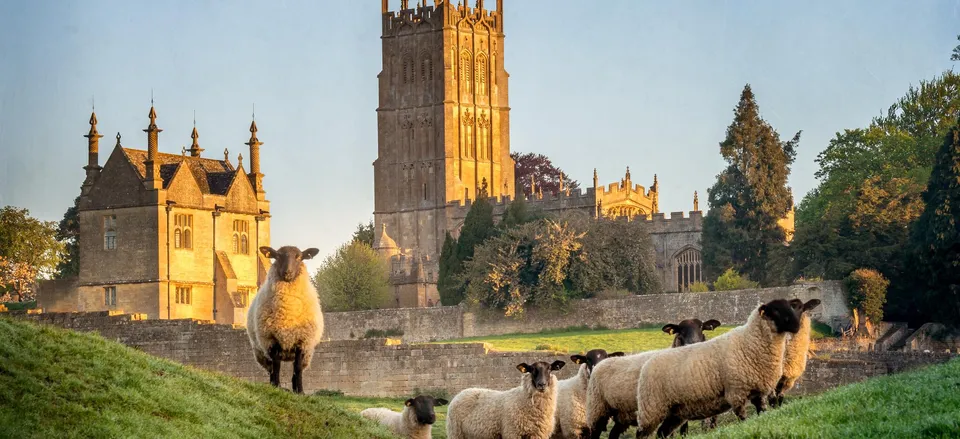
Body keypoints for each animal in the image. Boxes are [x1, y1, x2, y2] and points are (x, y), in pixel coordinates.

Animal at [246, 246, 324, 394]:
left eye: (299, 257)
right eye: (277, 256)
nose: (288, 272)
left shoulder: (302, 342)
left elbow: (297, 369)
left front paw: (300, 392)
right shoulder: (272, 341)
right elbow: (276, 367)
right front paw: (276, 387)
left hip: (307, 354)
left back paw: (294, 389)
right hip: (261, 353)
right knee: (271, 368)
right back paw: (274, 384)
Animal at [580, 320, 724, 439]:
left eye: (701, 328)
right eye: (680, 331)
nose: (693, 343)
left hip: (621, 414)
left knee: (613, 434)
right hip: (598, 410)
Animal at [636, 300, 804, 439]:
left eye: (702, 327)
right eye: (679, 331)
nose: (797, 326)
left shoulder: (756, 392)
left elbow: (759, 413)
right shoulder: (736, 392)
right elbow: (742, 418)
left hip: (675, 409)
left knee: (664, 431)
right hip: (654, 409)